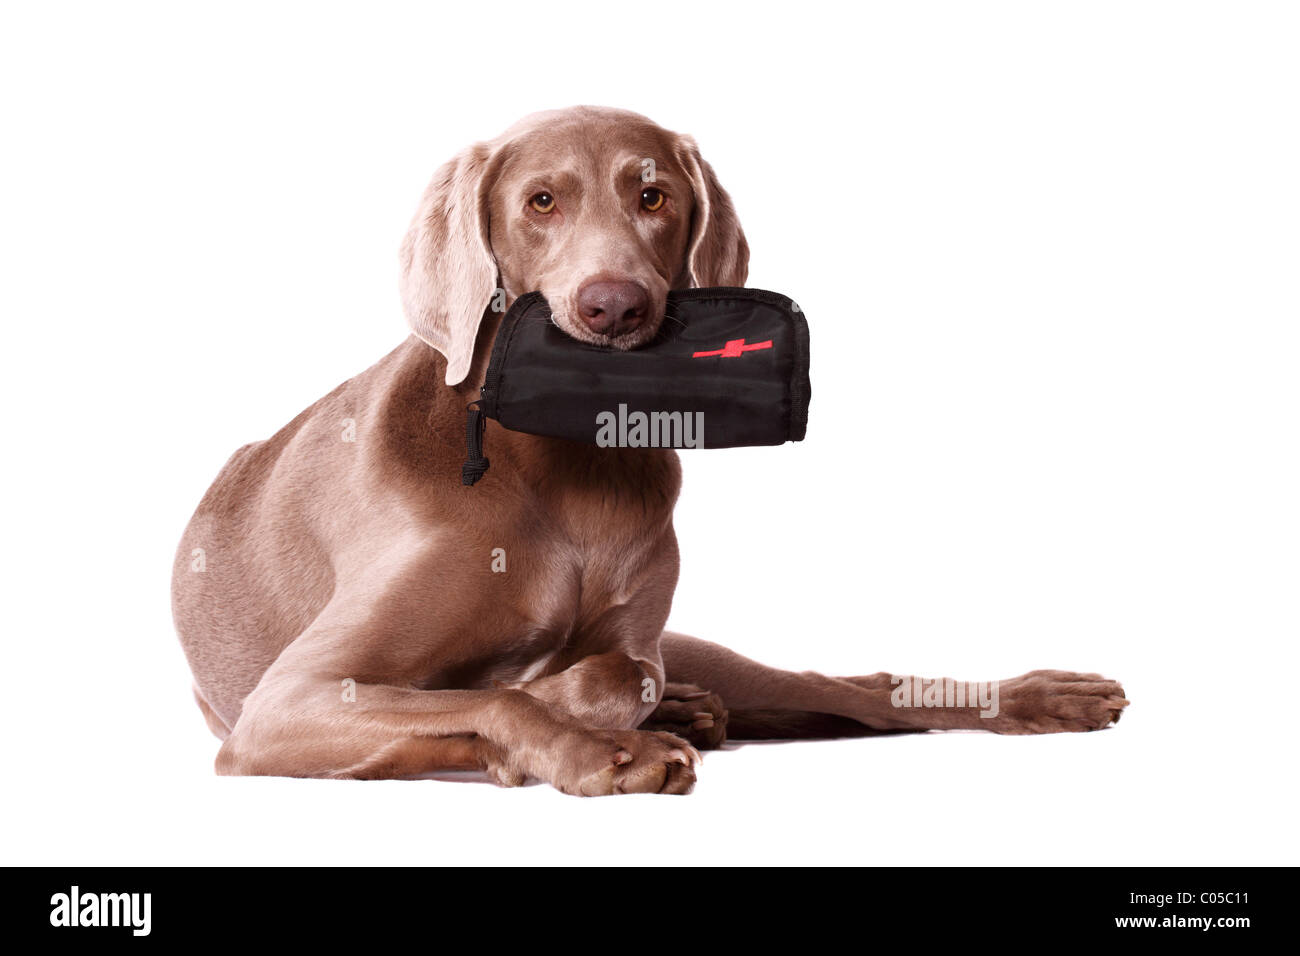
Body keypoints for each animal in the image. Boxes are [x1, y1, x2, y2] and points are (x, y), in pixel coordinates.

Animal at [172, 104, 1128, 796]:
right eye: (541, 201)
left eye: (653, 196)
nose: (614, 305)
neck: (563, 471)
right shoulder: (284, 704)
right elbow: (501, 696)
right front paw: (607, 749)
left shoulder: (634, 637)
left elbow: (614, 672)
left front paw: (610, 712)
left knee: (856, 689)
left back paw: (1041, 697)